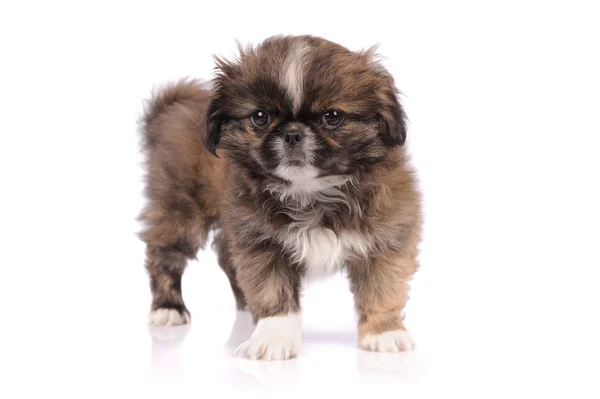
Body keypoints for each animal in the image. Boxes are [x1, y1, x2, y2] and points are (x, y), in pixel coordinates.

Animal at [139, 33, 422, 360]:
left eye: (332, 116)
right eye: (260, 117)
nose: (293, 134)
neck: (310, 190)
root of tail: (173, 108)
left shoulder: (387, 237)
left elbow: (382, 288)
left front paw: (384, 331)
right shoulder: (261, 243)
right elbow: (272, 292)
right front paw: (273, 338)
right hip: (183, 212)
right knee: (165, 254)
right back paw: (168, 308)